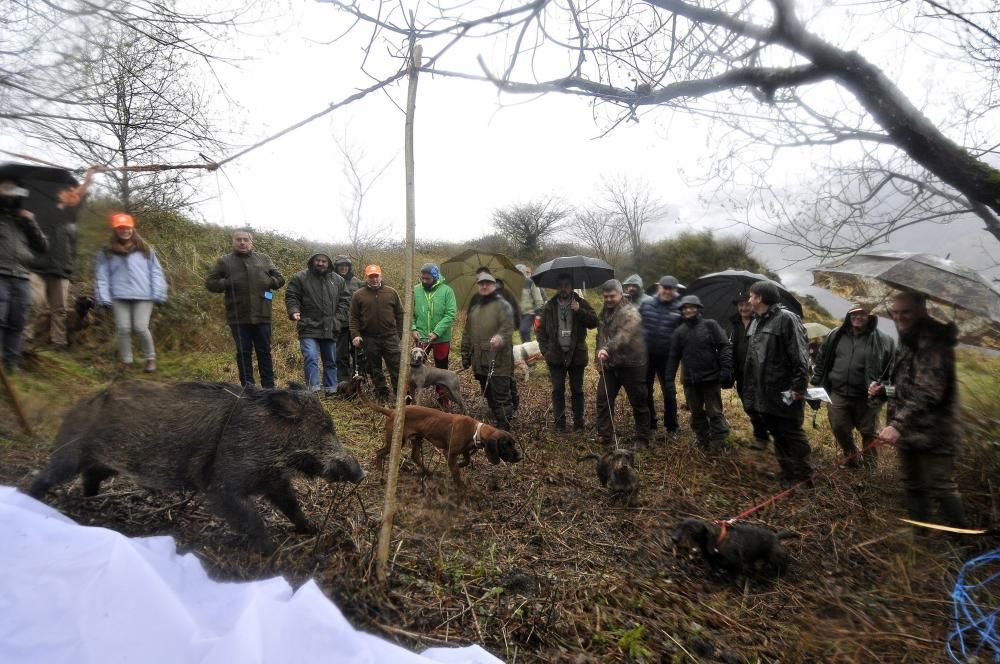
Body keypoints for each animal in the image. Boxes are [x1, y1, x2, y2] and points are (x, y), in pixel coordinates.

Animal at [370, 400, 524, 488]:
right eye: (505, 445)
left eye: (513, 443)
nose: (519, 457)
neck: (475, 431)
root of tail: (392, 411)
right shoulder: (449, 452)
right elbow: (455, 471)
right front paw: (461, 486)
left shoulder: (464, 450)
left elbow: (467, 460)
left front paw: (460, 464)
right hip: (397, 440)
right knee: (379, 452)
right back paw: (379, 473)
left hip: (417, 438)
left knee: (415, 456)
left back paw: (428, 472)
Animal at [668, 516, 800, 572]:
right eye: (679, 526)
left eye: (691, 530)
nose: (673, 539)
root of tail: (776, 536)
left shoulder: (735, 561)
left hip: (776, 558)